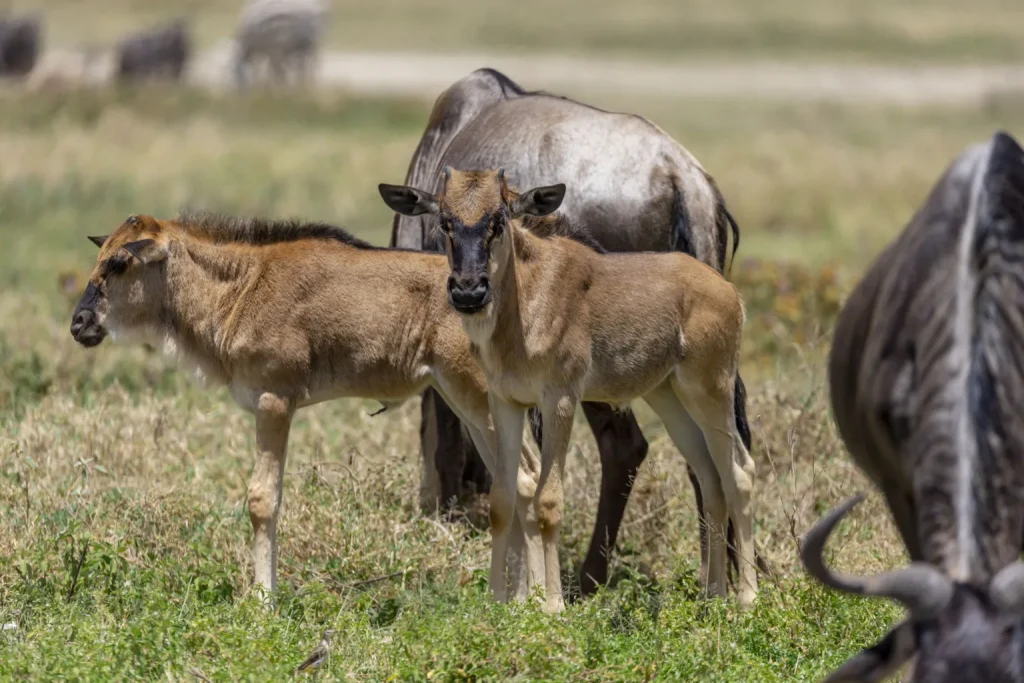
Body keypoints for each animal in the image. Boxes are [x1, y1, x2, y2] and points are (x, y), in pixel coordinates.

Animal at [68, 211, 573, 603]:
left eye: (118, 262)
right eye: (101, 256)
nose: (79, 323)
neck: (241, 286)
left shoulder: (275, 401)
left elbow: (262, 500)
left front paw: (262, 601)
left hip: (478, 397)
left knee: (527, 479)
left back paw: (532, 602)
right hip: (471, 403)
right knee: (515, 484)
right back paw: (515, 601)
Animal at [390, 67, 750, 597]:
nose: (436, 508)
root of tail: (681, 178)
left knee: (628, 445)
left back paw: (589, 577)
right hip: (682, 363)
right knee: (716, 449)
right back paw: (722, 577)